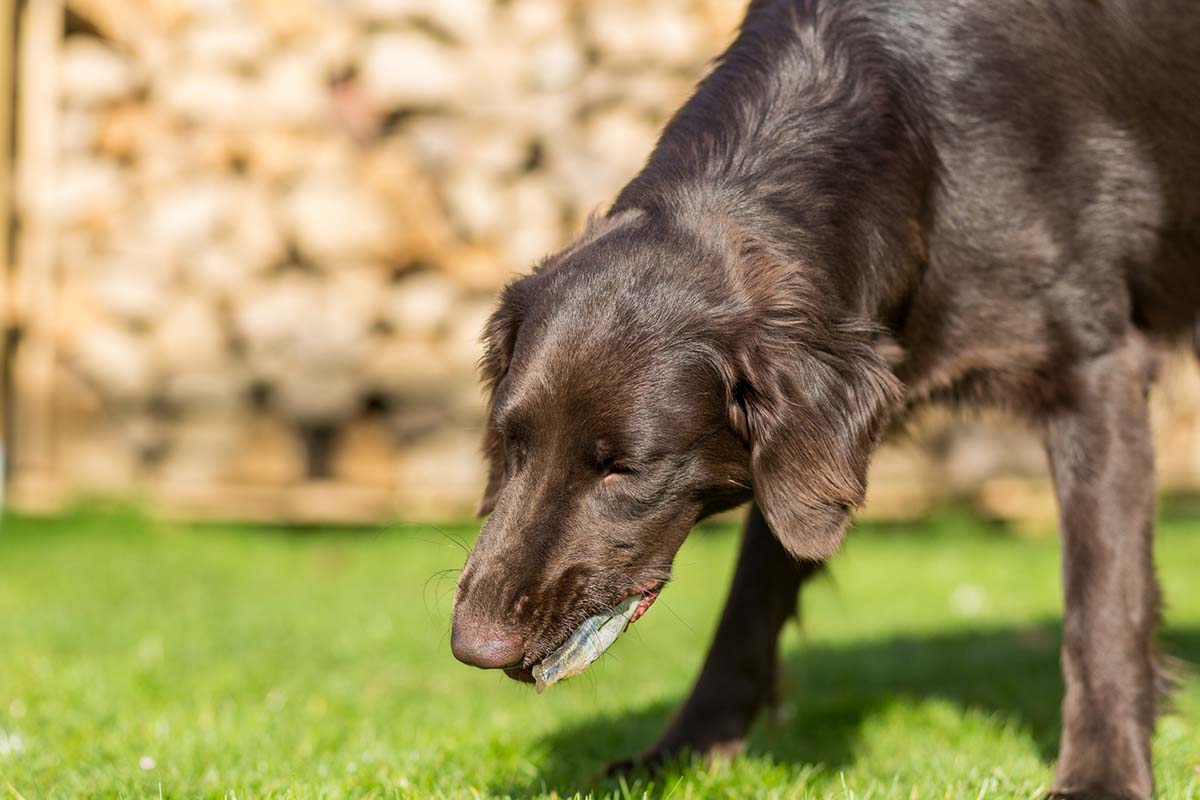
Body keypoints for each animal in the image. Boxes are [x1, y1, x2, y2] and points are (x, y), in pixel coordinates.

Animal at [451, 3, 1200, 796]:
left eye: (623, 469)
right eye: (511, 442)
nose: (474, 646)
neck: (923, 143)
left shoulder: (1096, 371)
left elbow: (1103, 597)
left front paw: (1103, 774)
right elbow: (753, 593)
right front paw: (686, 747)